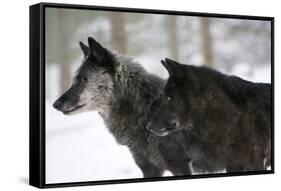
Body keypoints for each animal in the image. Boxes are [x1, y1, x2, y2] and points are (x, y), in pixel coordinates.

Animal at [54, 37, 217, 178]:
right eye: (75, 79)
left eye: (82, 79)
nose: (55, 104)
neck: (147, 110)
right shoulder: (148, 168)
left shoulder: (180, 166)